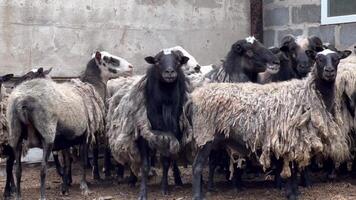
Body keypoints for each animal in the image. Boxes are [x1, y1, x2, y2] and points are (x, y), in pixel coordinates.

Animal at [6, 52, 133, 200]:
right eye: (109, 59)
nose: (131, 67)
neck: (93, 86)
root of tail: (22, 102)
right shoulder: (85, 135)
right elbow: (82, 161)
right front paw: (84, 186)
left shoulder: (66, 139)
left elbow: (67, 163)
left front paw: (65, 187)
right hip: (47, 134)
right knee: (42, 169)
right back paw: (42, 196)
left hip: (16, 135)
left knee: (17, 169)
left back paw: (18, 195)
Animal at [189, 48, 350, 200]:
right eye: (318, 59)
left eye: (337, 59)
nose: (329, 71)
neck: (309, 94)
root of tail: (195, 96)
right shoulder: (291, 140)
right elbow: (292, 172)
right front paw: (292, 195)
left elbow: (293, 170)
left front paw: (292, 193)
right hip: (205, 134)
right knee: (197, 167)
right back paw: (198, 195)